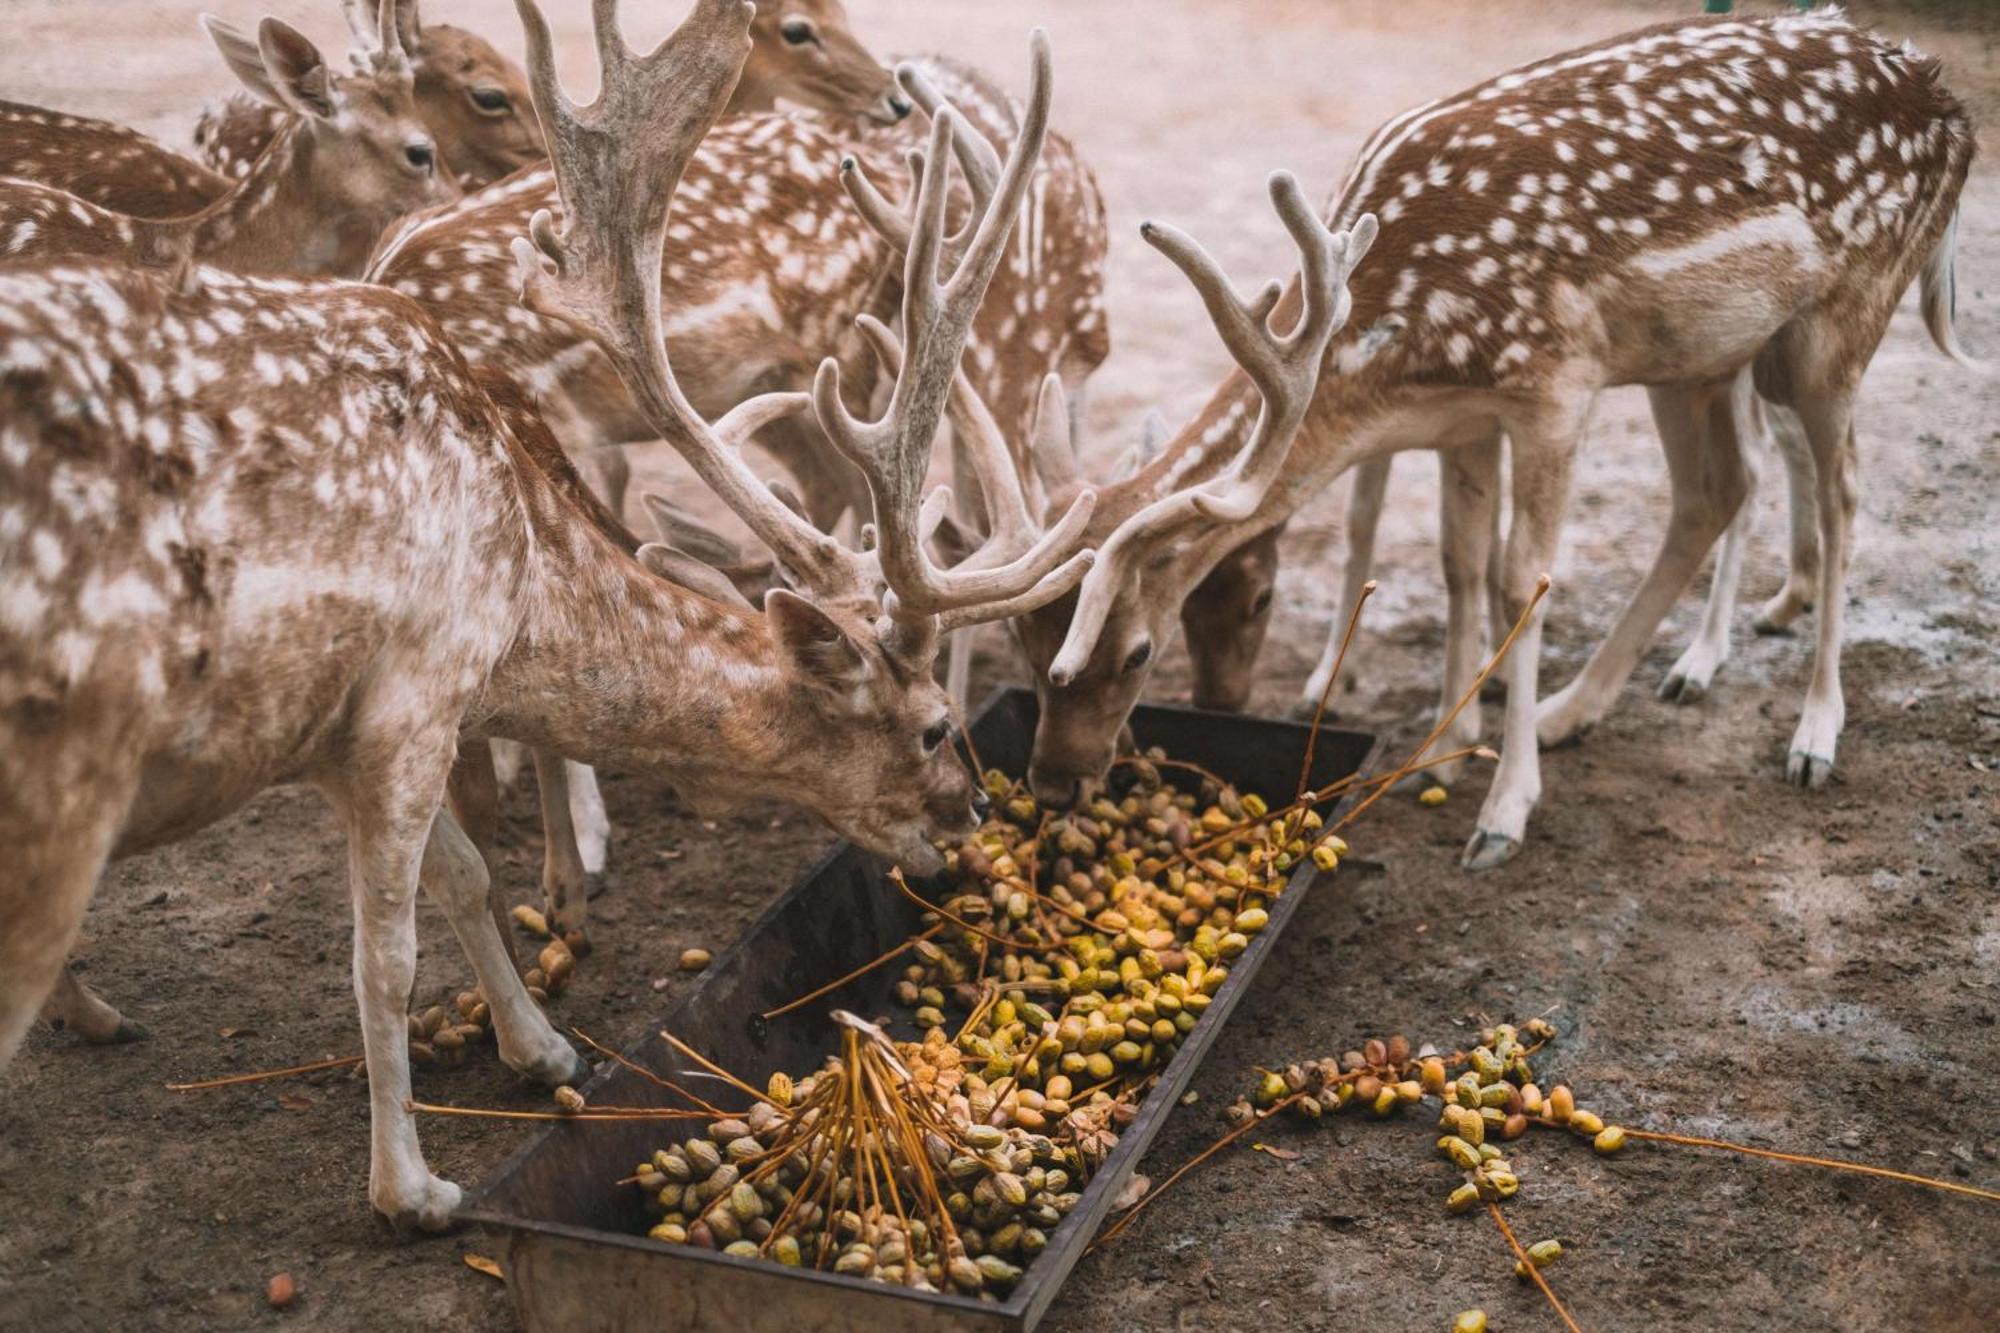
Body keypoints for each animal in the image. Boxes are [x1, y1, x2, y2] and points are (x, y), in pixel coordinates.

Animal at [1008, 15, 1976, 868]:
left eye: (1138, 651)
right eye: (1027, 642)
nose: (1055, 783)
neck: (1390, 349)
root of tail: (1954, 109)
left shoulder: (1554, 387)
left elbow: (1524, 581)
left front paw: (1504, 813)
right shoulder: (1464, 418)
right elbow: (1457, 560)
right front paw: (1437, 747)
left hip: (1837, 322)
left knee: (1843, 490)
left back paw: (1813, 732)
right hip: (1698, 356)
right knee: (1718, 489)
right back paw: (1573, 709)